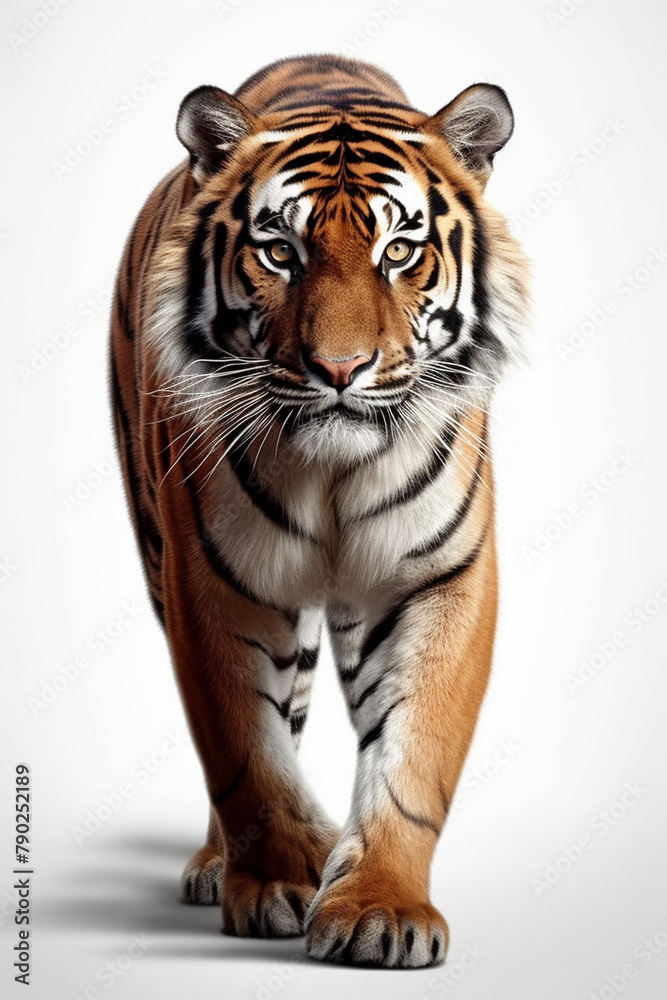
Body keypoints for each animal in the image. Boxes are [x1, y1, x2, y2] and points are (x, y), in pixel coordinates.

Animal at [110, 53, 529, 969]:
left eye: (399, 250)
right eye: (280, 251)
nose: (339, 369)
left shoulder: (436, 579)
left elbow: (413, 758)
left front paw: (381, 908)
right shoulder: (215, 584)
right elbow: (244, 752)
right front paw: (276, 882)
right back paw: (218, 865)